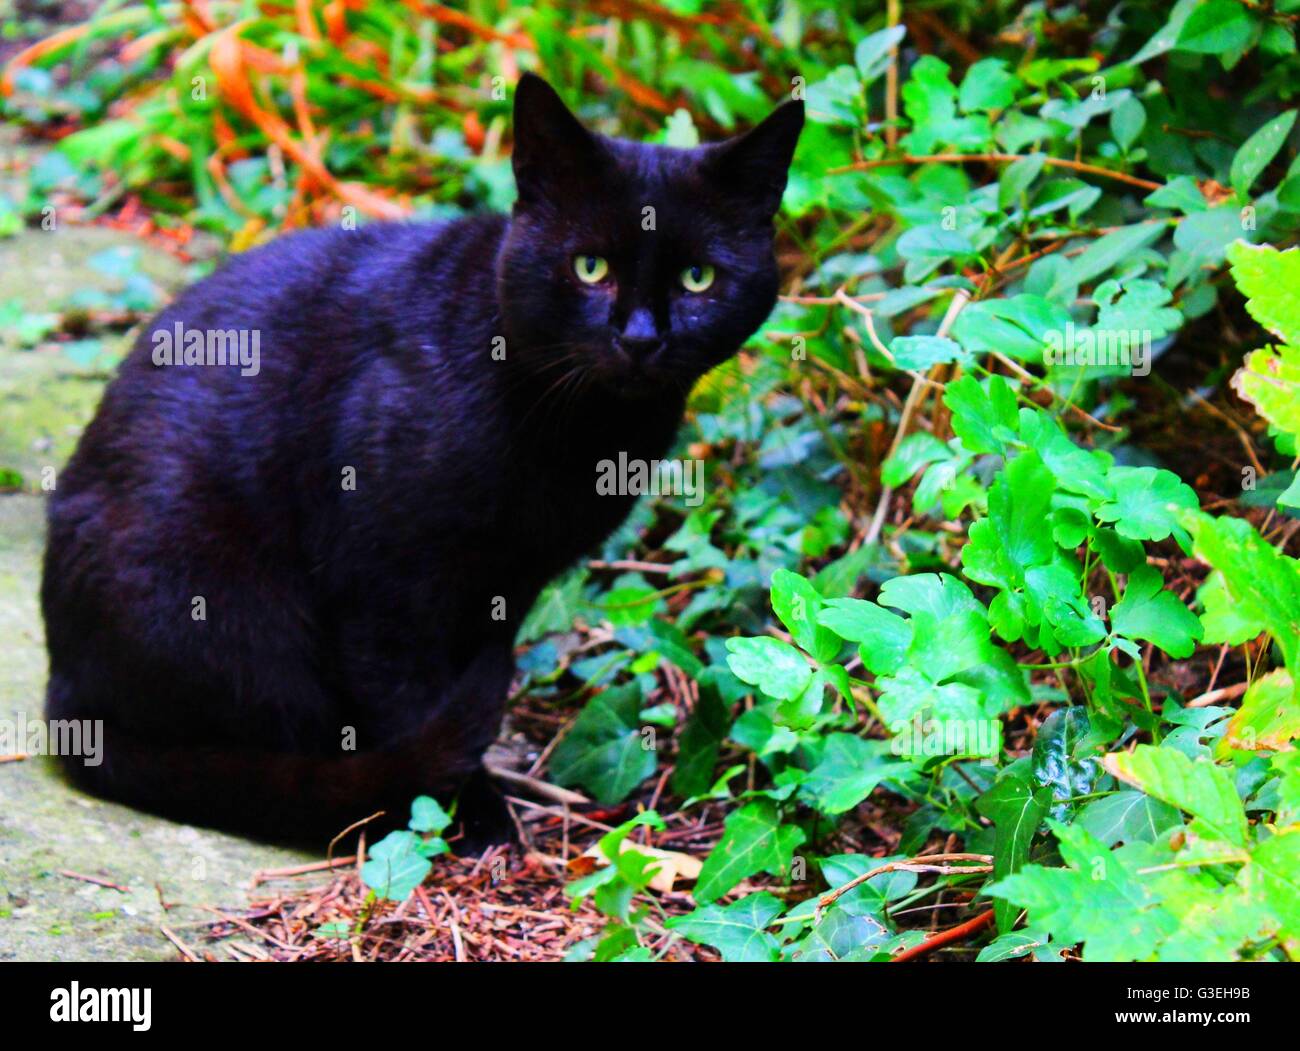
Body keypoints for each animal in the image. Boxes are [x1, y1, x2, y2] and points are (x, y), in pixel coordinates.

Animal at [40, 71, 800, 848]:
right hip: (239, 618)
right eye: (589, 267)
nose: (642, 338)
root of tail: (64, 695)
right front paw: (463, 810)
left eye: (699, 278)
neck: (577, 428)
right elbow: (407, 700)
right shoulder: (384, 583)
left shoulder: (508, 583)